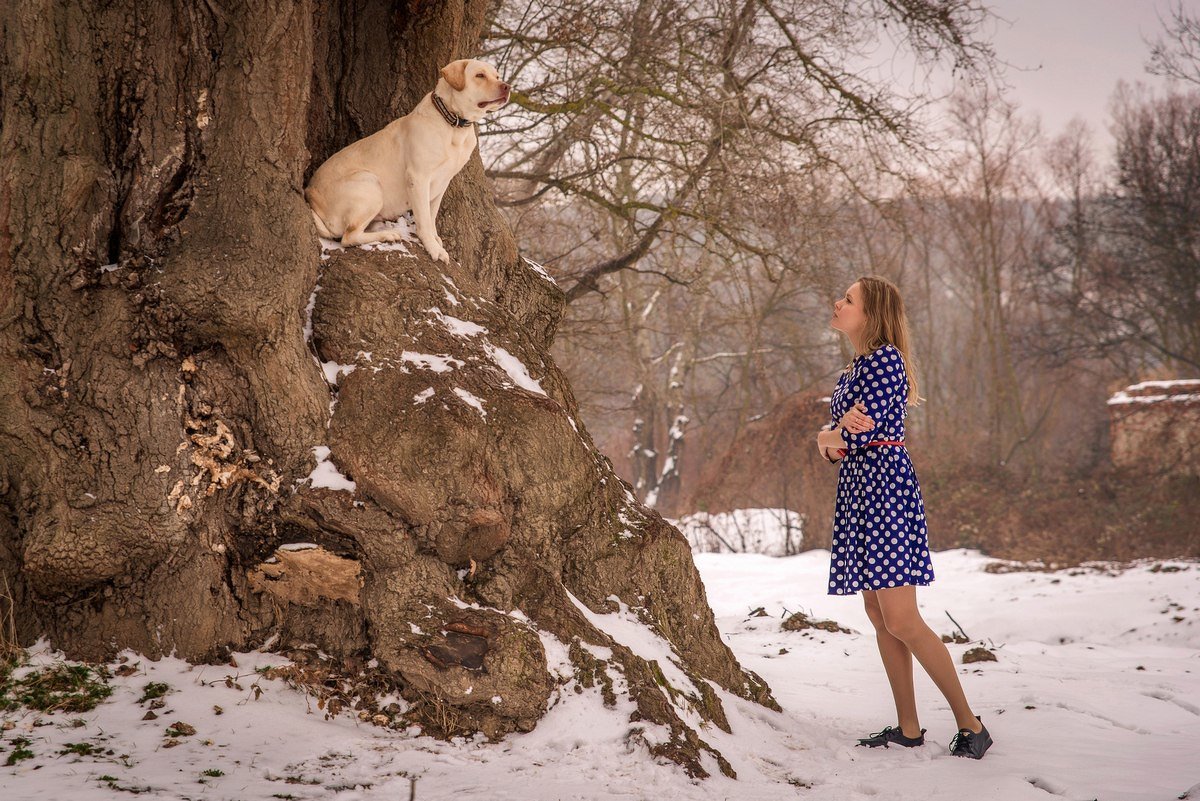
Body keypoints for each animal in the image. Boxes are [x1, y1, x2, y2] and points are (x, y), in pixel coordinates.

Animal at [304, 63, 511, 262]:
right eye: (480, 75)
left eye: (497, 76)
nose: (507, 86)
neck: (453, 124)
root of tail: (310, 194)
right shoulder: (418, 178)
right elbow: (424, 220)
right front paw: (434, 248)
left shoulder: (443, 181)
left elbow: (431, 215)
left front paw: (435, 239)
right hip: (369, 182)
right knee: (349, 237)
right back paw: (388, 234)